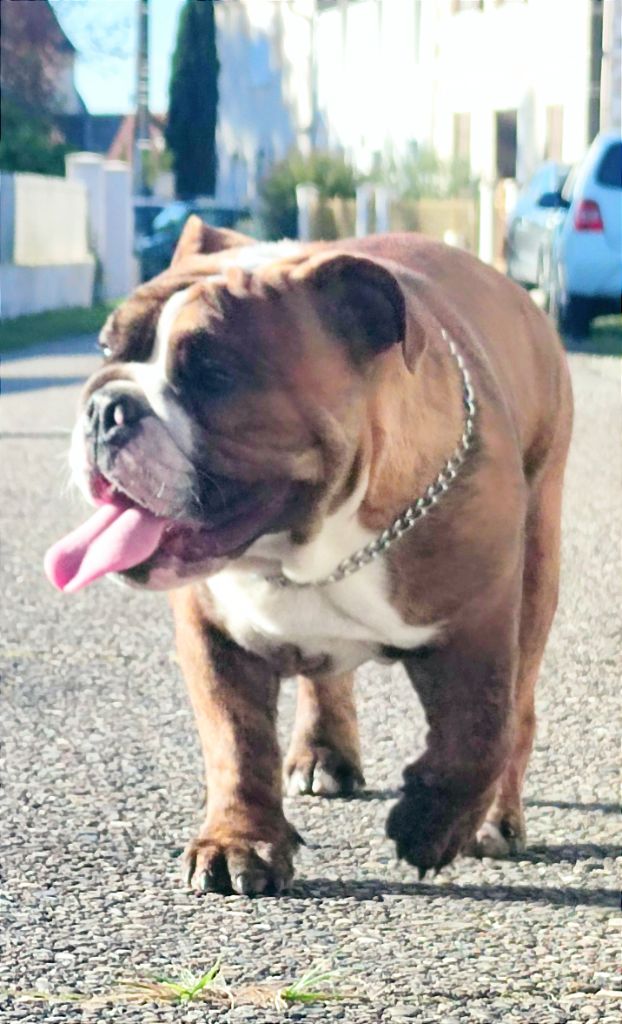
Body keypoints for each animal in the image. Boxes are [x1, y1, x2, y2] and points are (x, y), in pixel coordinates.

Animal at [45, 218, 573, 895]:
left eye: (213, 373)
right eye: (105, 350)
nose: (104, 408)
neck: (310, 549)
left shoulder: (479, 624)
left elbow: (479, 732)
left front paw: (430, 827)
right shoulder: (210, 632)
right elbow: (236, 741)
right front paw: (239, 841)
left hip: (537, 570)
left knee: (518, 711)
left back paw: (491, 821)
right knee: (325, 680)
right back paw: (325, 752)